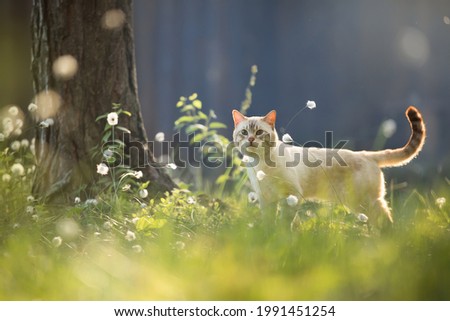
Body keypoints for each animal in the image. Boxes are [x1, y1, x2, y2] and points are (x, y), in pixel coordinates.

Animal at [234, 105, 428, 225]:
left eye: (259, 132)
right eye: (244, 132)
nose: (250, 139)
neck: (261, 165)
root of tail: (366, 154)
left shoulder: (291, 195)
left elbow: (284, 222)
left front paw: (281, 237)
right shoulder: (266, 199)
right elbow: (268, 223)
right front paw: (269, 235)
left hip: (364, 202)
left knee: (386, 222)